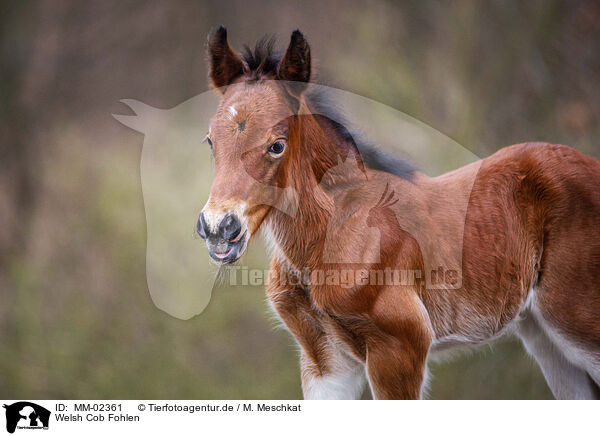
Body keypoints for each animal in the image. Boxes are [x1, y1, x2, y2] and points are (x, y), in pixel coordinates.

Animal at [198, 27, 600, 398]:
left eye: (277, 145)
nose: (219, 228)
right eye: (210, 141)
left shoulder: (400, 348)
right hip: (544, 337)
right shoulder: (324, 362)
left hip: (576, 322)